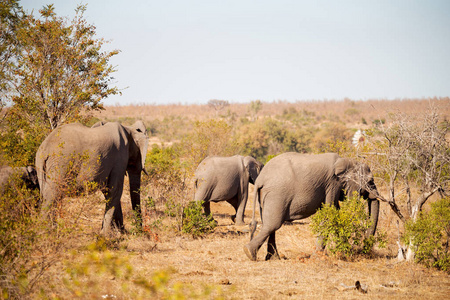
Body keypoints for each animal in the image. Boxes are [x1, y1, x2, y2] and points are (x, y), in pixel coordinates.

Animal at [243, 152, 380, 260]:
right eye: (370, 181)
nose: (364, 249)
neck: (347, 161)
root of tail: (260, 179)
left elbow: (334, 213)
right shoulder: (332, 184)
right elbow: (329, 214)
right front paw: (318, 256)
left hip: (265, 196)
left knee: (269, 224)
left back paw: (271, 258)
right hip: (276, 194)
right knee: (272, 225)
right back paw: (249, 253)